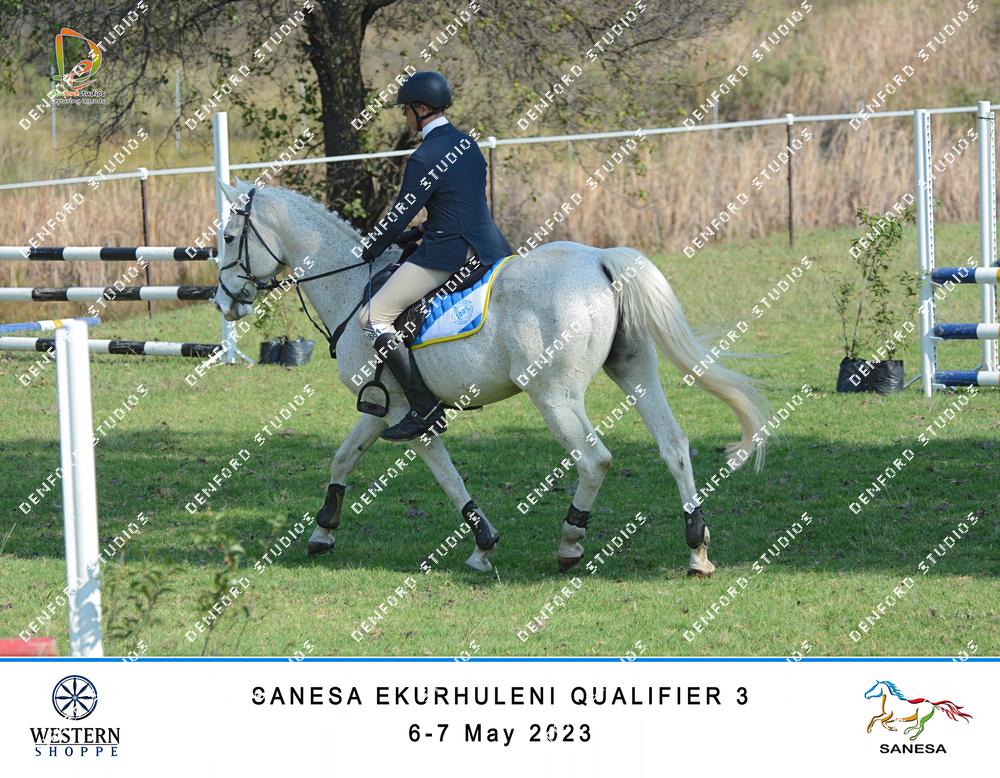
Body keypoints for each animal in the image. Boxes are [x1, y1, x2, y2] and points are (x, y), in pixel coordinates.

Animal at [212, 179, 769, 576]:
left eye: (228, 237)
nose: (224, 302)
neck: (351, 284)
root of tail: (600, 261)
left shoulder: (405, 414)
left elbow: (447, 476)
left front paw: (483, 546)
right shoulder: (381, 408)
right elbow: (344, 456)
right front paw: (323, 531)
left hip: (554, 394)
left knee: (595, 459)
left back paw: (571, 543)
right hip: (634, 371)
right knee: (673, 445)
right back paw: (697, 549)